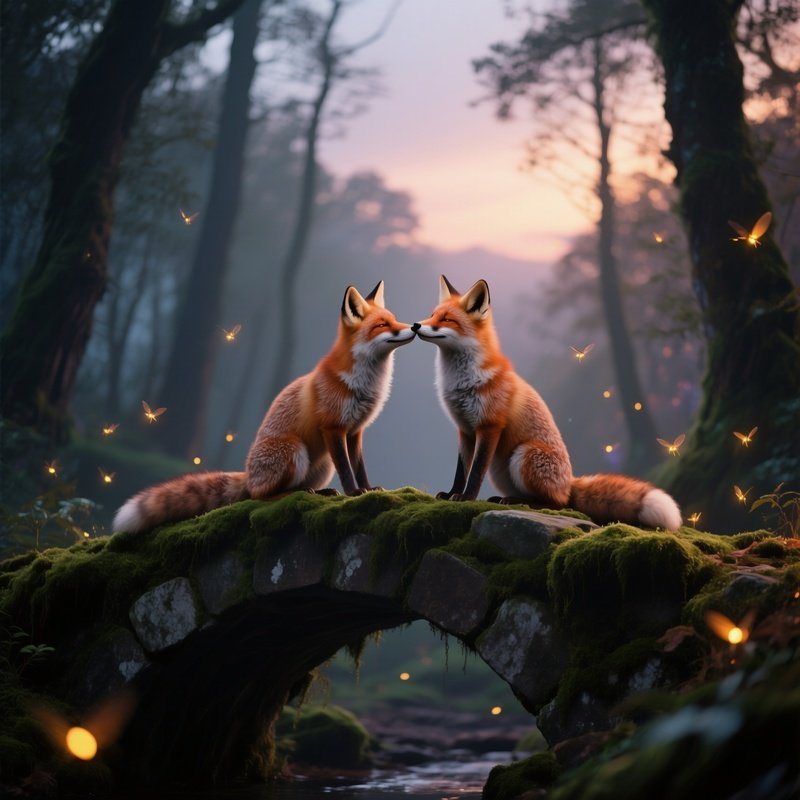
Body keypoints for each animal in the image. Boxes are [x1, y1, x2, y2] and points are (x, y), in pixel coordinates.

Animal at [113, 281, 415, 533]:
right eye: (382, 325)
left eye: (394, 319)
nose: (412, 326)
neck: (364, 383)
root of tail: (248, 475)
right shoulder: (333, 427)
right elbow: (346, 469)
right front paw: (354, 494)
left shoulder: (354, 431)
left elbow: (359, 467)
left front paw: (369, 489)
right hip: (295, 450)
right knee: (261, 496)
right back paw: (292, 495)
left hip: (320, 465)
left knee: (294, 488)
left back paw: (318, 493)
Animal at [411, 276, 682, 531]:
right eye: (432, 315)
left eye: (446, 319)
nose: (415, 325)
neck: (462, 381)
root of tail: (569, 483)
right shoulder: (465, 429)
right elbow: (461, 471)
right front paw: (451, 494)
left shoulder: (489, 426)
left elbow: (475, 471)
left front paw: (466, 497)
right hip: (500, 468)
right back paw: (506, 499)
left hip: (524, 454)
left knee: (556, 503)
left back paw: (522, 503)